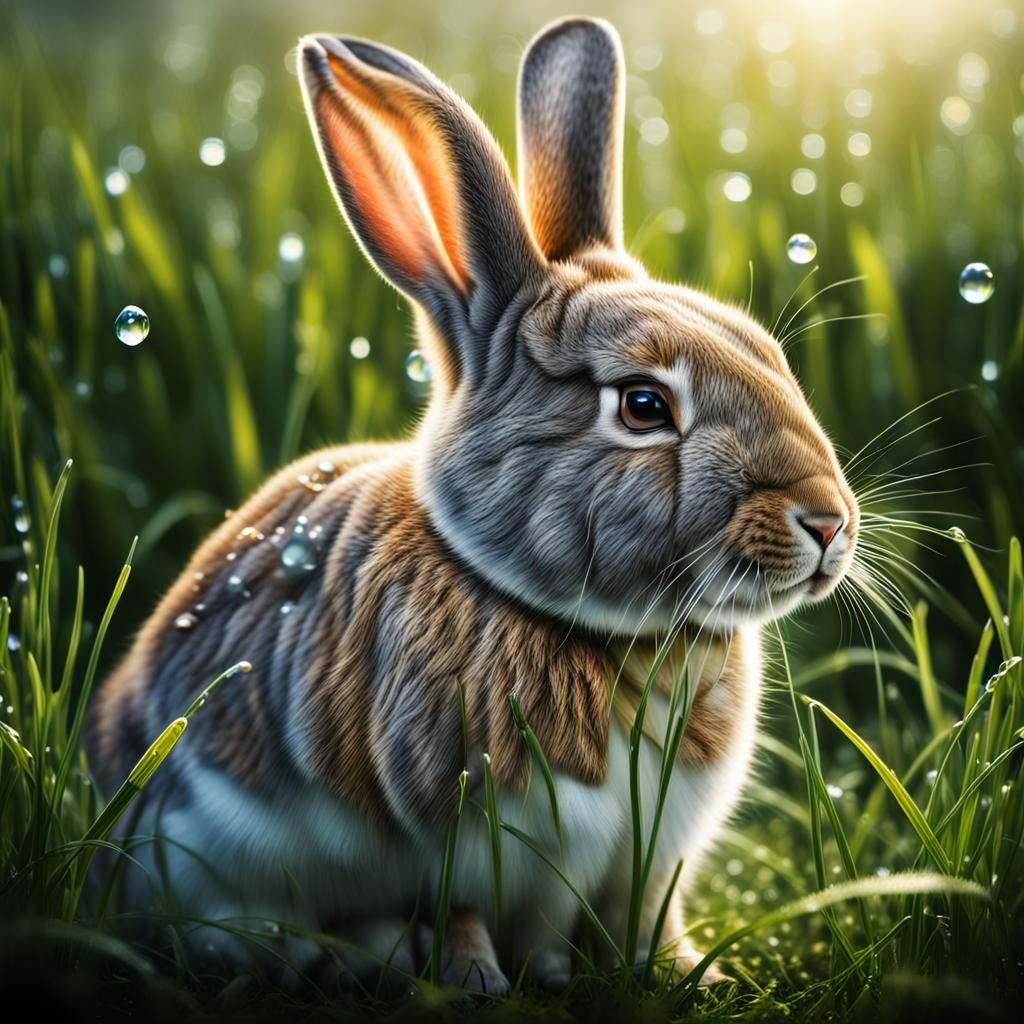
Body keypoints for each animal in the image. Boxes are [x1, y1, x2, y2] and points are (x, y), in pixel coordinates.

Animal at [87, 16, 859, 995]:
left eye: (770, 354)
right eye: (644, 406)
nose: (828, 522)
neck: (612, 640)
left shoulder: (650, 860)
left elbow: (649, 914)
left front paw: (694, 976)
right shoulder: (439, 833)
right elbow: (457, 910)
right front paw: (478, 984)